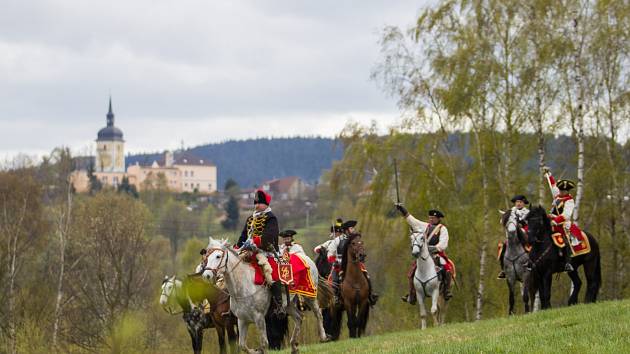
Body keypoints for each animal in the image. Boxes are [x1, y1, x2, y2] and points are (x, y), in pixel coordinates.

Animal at [202, 238, 330, 354]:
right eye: (206, 258)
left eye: (218, 256)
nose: (206, 276)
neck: (244, 285)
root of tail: (305, 257)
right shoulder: (242, 320)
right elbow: (243, 345)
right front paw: (255, 350)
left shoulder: (259, 318)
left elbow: (264, 343)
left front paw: (259, 349)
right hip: (288, 304)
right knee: (299, 318)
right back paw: (294, 346)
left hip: (309, 295)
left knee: (318, 313)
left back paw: (323, 337)